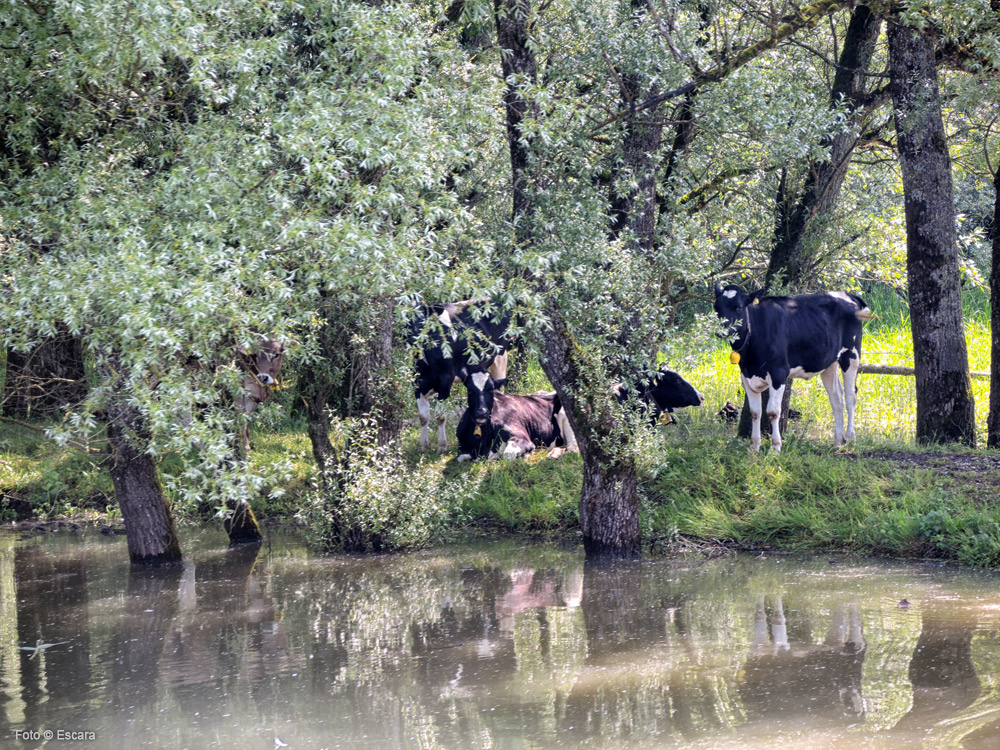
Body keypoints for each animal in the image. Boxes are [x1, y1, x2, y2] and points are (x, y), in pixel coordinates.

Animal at [410, 300, 512, 452]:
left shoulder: (445, 381)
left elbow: (440, 416)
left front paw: (442, 446)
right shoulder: (417, 382)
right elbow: (423, 417)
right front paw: (423, 445)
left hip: (500, 357)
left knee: (500, 388)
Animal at [716, 284, 872, 452]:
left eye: (738, 307)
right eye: (716, 307)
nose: (721, 331)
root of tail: (848, 295)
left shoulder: (778, 373)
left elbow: (773, 412)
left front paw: (775, 447)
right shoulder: (746, 375)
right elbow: (755, 412)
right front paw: (754, 447)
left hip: (851, 355)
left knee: (850, 396)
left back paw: (851, 438)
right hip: (829, 362)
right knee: (836, 398)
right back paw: (837, 441)